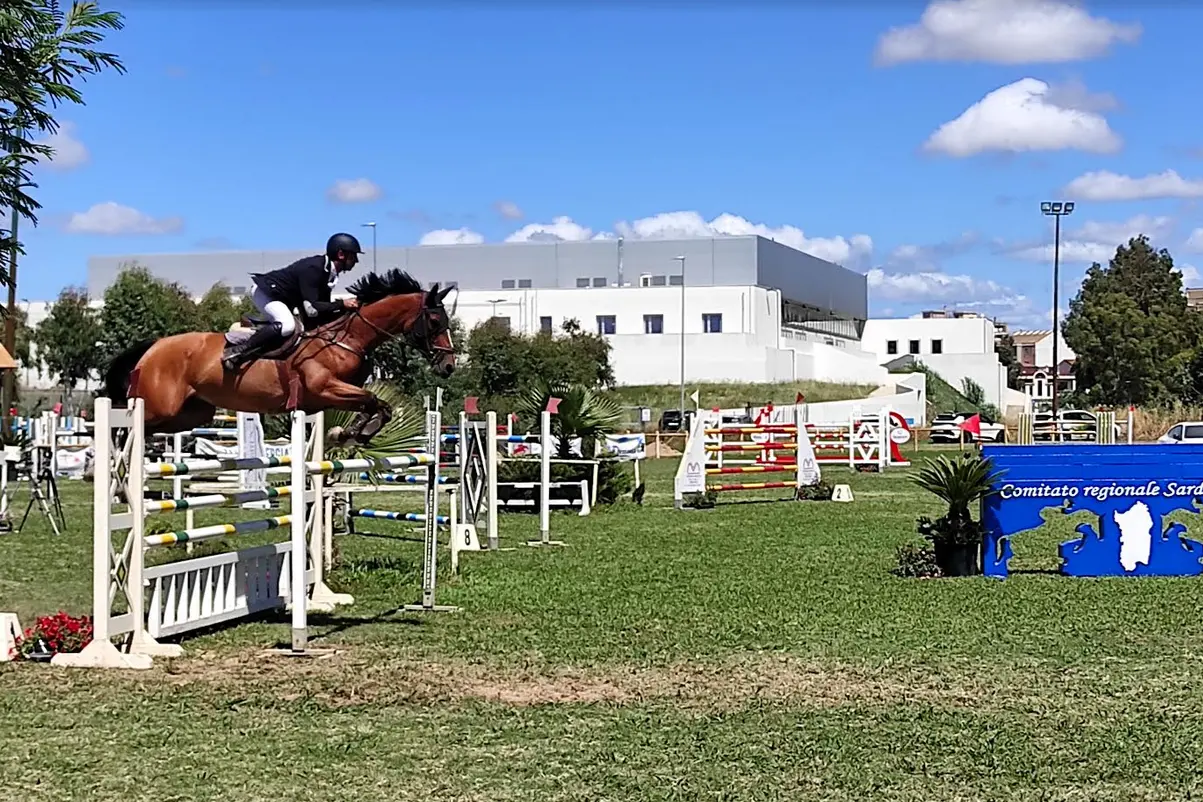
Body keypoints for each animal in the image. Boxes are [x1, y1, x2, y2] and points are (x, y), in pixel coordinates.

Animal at [102, 269, 454, 444]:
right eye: (436, 320)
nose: (449, 366)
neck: (347, 338)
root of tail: (154, 346)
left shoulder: (327, 397)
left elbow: (377, 405)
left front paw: (350, 433)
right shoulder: (324, 387)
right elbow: (372, 401)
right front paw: (353, 433)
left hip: (192, 413)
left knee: (144, 431)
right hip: (159, 405)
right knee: (124, 427)